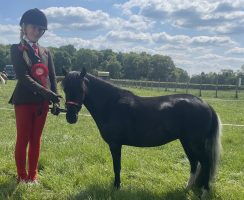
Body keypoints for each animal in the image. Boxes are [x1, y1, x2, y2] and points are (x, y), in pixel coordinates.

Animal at [61, 69, 221, 198]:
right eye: (65, 89)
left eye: (81, 89)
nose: (70, 117)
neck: (111, 104)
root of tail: (205, 104)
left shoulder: (115, 144)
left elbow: (116, 166)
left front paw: (116, 188)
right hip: (187, 142)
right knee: (194, 163)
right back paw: (186, 188)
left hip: (193, 143)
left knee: (205, 163)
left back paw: (204, 193)